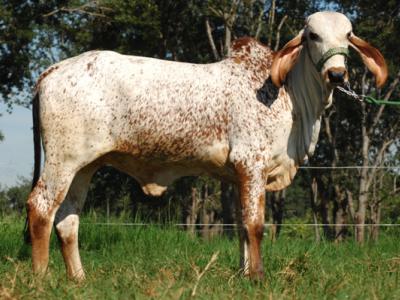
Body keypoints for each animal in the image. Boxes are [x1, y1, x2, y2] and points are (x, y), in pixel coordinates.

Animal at [25, 12, 388, 282]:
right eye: (313, 35)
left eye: (348, 35)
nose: (337, 74)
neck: (291, 97)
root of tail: (51, 71)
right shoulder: (251, 163)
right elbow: (255, 225)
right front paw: (257, 276)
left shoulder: (240, 175)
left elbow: (241, 226)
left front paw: (244, 274)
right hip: (62, 161)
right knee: (41, 208)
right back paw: (41, 278)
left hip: (85, 166)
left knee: (68, 220)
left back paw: (79, 279)